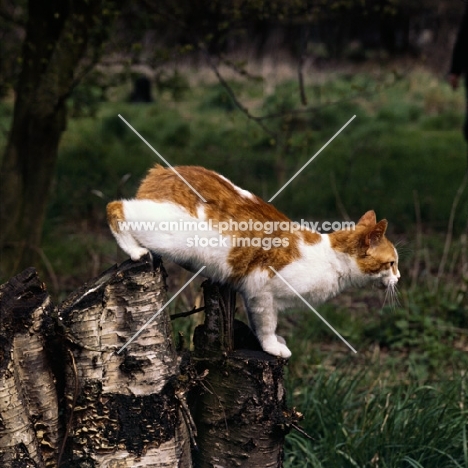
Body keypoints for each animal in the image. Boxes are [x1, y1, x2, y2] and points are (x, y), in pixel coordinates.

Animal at [108, 165, 400, 358]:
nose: (398, 278)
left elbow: (258, 322)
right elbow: (267, 324)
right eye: (392, 263)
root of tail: (162, 169)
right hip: (172, 236)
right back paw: (135, 250)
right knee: (117, 206)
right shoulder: (262, 292)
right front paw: (272, 347)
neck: (331, 260)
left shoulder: (252, 294)